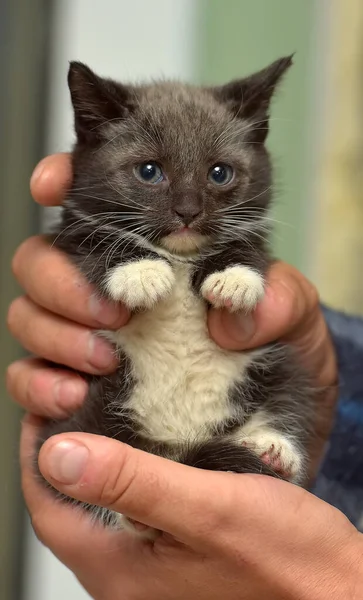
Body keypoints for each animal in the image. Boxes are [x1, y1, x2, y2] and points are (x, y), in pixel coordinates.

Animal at [36, 55, 316, 536]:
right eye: (149, 171)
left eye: (219, 173)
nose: (188, 211)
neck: (180, 258)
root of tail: (176, 444)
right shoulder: (71, 228)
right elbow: (97, 243)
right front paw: (141, 273)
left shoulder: (253, 231)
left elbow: (249, 247)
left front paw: (235, 279)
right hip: (80, 419)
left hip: (274, 372)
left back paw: (270, 448)